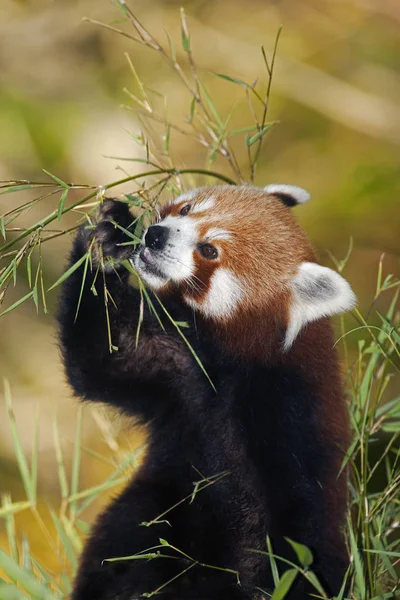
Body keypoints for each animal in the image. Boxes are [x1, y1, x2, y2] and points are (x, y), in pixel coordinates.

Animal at [57, 183, 354, 600]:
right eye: (187, 209)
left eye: (209, 250)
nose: (156, 235)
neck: (226, 365)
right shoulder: (178, 370)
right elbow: (103, 359)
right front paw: (106, 240)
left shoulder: (291, 422)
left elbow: (289, 541)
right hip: (164, 501)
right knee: (131, 537)